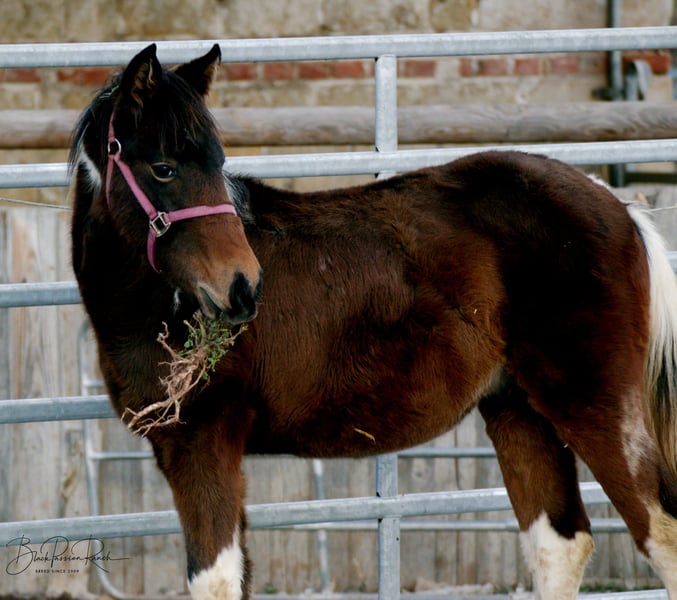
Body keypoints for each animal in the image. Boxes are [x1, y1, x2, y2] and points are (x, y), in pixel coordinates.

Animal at [69, 43, 677, 600]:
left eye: (216, 164)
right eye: (164, 168)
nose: (243, 288)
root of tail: (620, 207)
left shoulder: (204, 441)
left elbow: (213, 581)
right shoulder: (191, 450)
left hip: (595, 407)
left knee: (660, 534)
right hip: (519, 410)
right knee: (559, 546)